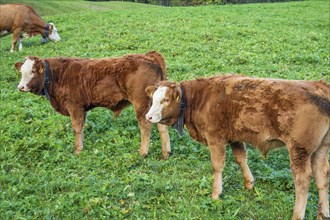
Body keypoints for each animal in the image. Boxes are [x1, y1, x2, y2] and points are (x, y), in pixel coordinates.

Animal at [14, 51, 171, 158]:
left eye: (33, 71)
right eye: (21, 72)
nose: (20, 87)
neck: (56, 75)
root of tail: (148, 56)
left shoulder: (75, 106)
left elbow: (76, 128)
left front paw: (77, 150)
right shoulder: (82, 108)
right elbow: (81, 127)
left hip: (141, 104)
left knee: (145, 127)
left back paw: (143, 152)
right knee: (162, 127)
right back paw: (166, 153)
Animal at [146, 75, 328, 219]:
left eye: (165, 100)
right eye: (153, 99)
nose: (148, 117)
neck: (200, 98)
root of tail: (319, 86)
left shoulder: (215, 138)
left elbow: (218, 166)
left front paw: (216, 193)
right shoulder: (234, 137)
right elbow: (241, 158)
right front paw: (249, 183)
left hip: (299, 149)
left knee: (303, 179)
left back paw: (297, 214)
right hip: (320, 148)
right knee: (322, 176)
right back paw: (323, 214)